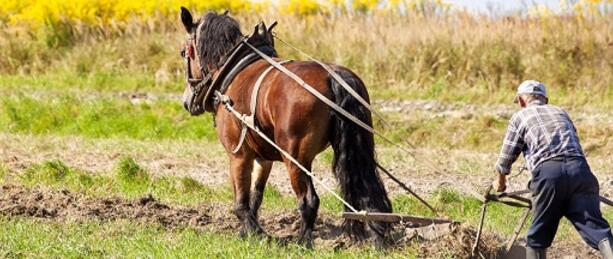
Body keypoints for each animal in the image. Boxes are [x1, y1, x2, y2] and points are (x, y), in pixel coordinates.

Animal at [177, 7, 392, 248]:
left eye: (184, 52)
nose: (186, 101)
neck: (232, 70)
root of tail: (333, 76)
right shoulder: (263, 158)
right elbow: (256, 196)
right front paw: (246, 232)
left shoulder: (238, 154)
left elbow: (241, 201)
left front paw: (257, 233)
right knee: (366, 192)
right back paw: (377, 236)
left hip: (295, 159)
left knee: (308, 200)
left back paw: (302, 242)